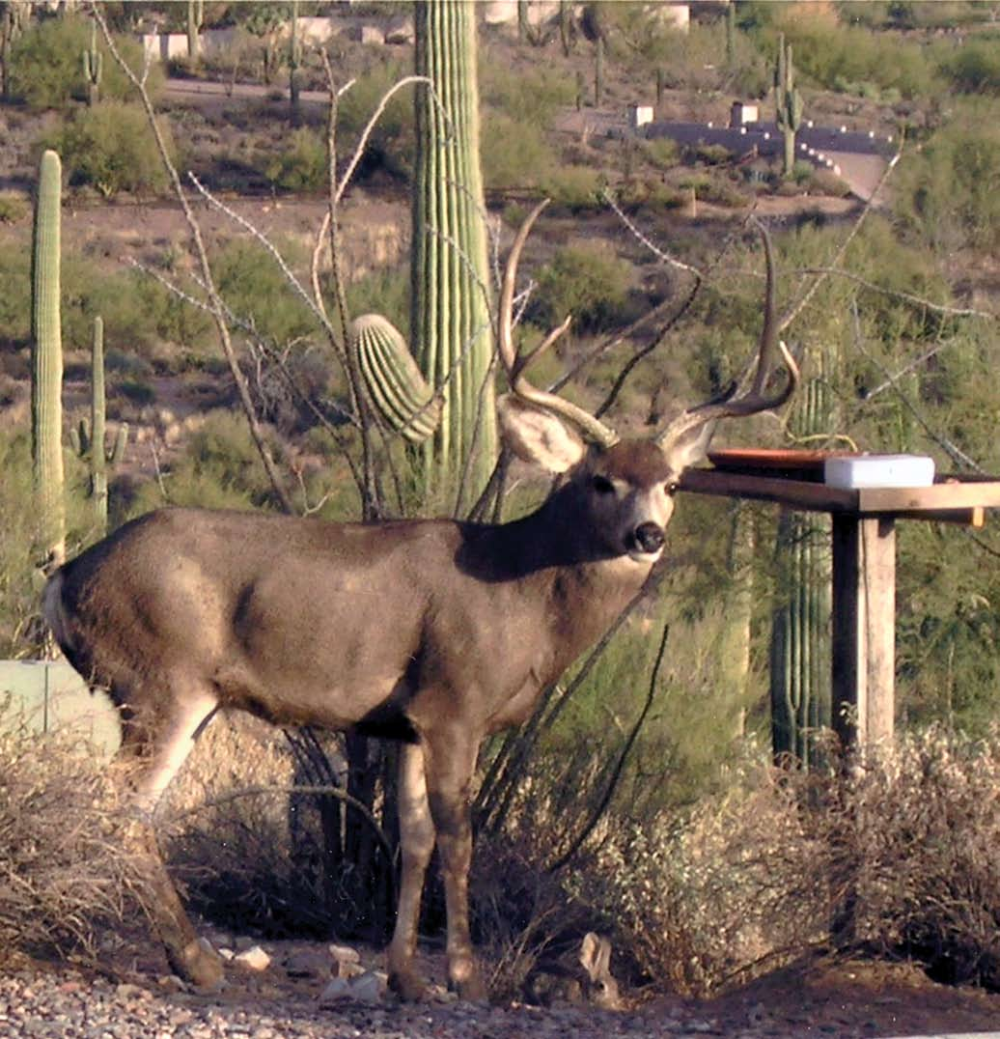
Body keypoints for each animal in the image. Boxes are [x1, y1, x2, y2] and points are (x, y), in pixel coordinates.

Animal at [42, 203, 797, 1003]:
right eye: (602, 480)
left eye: (673, 483)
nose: (648, 533)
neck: (524, 591)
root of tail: (66, 579)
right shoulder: (454, 700)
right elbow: (459, 835)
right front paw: (465, 973)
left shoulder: (403, 721)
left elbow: (413, 837)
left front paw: (404, 974)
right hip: (161, 681)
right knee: (121, 805)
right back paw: (194, 957)